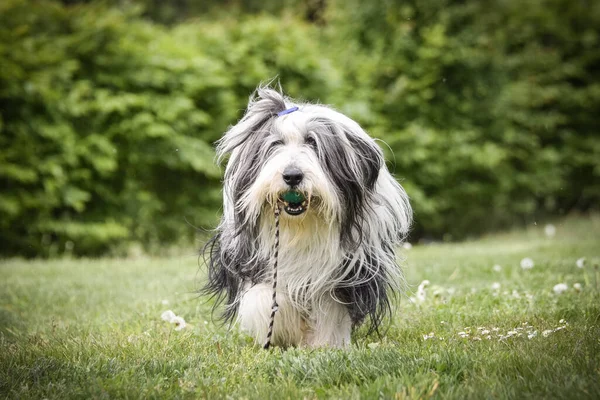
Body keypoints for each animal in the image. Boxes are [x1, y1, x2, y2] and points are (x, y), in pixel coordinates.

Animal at [204, 86, 410, 346]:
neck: (300, 227)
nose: (292, 175)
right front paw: (285, 329)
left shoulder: (345, 270)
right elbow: (264, 296)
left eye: (312, 141)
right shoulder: (251, 258)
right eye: (276, 143)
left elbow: (331, 308)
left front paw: (325, 345)